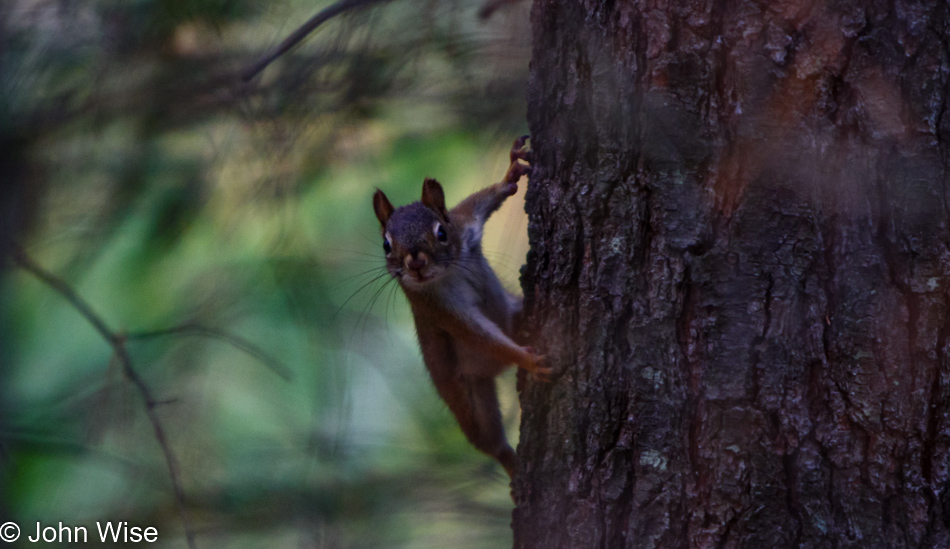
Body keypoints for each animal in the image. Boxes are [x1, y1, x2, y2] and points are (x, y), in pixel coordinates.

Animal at [372, 137, 552, 476]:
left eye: (441, 232)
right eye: (386, 245)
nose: (415, 263)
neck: (449, 270)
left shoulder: (464, 225)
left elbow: (481, 202)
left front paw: (510, 173)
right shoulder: (438, 307)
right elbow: (478, 334)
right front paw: (528, 360)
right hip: (467, 396)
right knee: (488, 439)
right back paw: (510, 463)